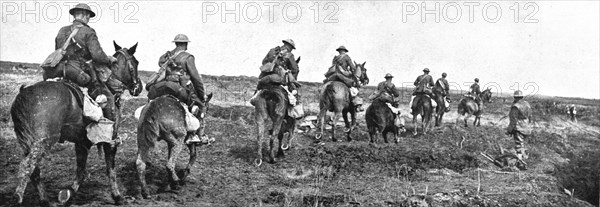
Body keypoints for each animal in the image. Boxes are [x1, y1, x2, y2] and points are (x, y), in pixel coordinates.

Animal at [9, 40, 143, 205]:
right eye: (136, 62)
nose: (139, 87)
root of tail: (24, 93)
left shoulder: (81, 142)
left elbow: (81, 170)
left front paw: (69, 193)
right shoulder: (110, 141)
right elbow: (110, 169)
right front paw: (117, 196)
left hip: (27, 142)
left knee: (34, 170)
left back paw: (44, 199)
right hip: (42, 142)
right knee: (27, 166)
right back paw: (18, 197)